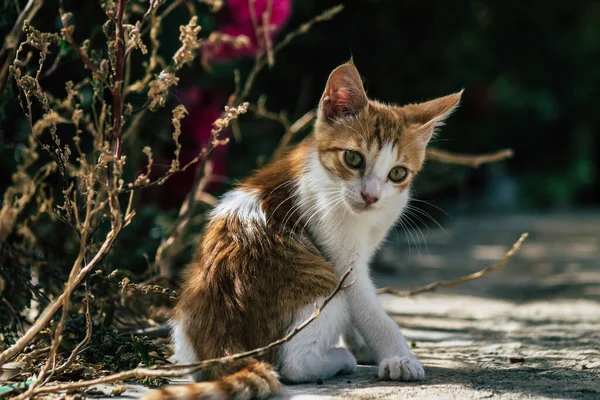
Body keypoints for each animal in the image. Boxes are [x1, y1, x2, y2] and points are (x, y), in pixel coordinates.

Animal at [143, 61, 462, 398]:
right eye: (353, 158)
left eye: (398, 173)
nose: (371, 196)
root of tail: (223, 340)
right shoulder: (341, 258)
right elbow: (369, 309)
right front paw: (398, 357)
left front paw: (363, 346)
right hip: (321, 287)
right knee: (294, 364)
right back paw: (339, 359)